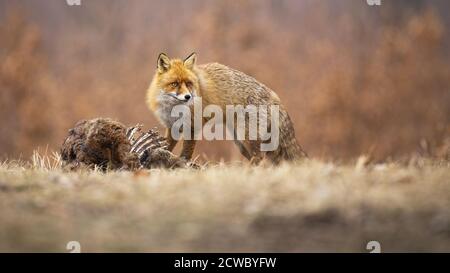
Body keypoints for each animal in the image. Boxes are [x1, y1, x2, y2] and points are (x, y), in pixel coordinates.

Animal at [146, 52, 308, 164]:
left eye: (189, 83)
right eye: (174, 84)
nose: (188, 97)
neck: (172, 108)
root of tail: (274, 95)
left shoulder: (192, 125)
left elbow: (186, 153)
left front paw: (182, 165)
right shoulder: (172, 126)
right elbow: (166, 146)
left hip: (246, 137)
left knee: (259, 158)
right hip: (240, 143)